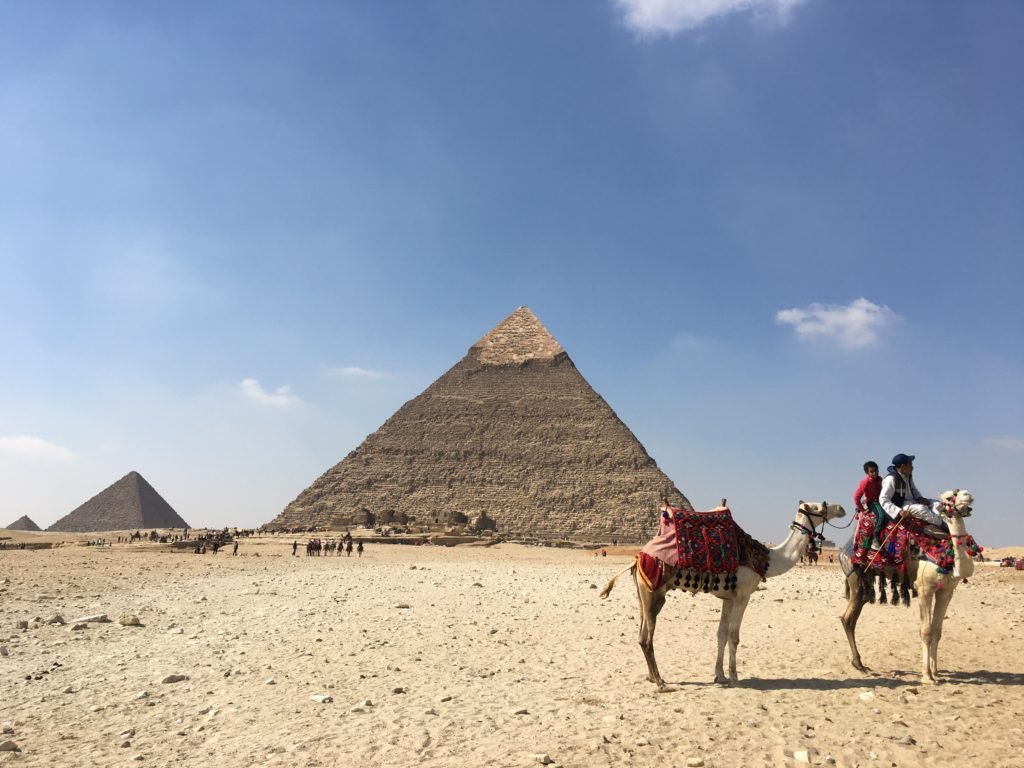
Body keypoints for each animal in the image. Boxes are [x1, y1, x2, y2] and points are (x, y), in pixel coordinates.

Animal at [598, 501, 847, 688]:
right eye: (818, 506)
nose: (841, 508)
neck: (767, 560)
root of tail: (637, 558)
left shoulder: (729, 598)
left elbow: (721, 634)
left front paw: (719, 675)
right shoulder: (743, 596)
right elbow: (734, 637)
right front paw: (735, 678)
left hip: (642, 594)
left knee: (642, 636)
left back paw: (651, 677)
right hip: (654, 594)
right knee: (647, 638)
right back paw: (660, 681)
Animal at [843, 489, 978, 684]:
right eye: (949, 496)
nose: (967, 495)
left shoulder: (946, 591)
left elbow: (937, 630)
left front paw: (936, 671)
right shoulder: (924, 589)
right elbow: (926, 631)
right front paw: (927, 676)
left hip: (864, 584)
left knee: (852, 618)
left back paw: (859, 663)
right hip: (855, 578)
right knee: (847, 619)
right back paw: (859, 664)